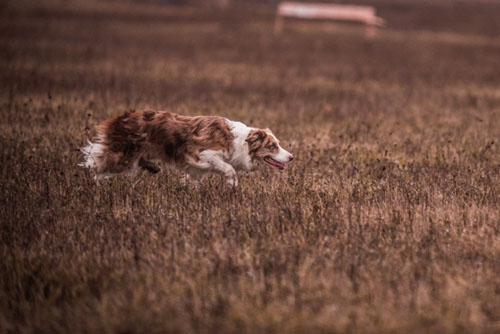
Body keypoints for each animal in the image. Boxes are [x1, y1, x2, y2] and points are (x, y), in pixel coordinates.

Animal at [79, 109, 292, 185]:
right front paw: (232, 185)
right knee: (95, 165)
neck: (241, 142)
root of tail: (123, 117)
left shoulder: (196, 168)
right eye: (272, 146)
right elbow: (229, 168)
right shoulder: (203, 154)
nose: (291, 157)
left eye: (278, 144)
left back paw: (152, 167)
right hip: (122, 157)